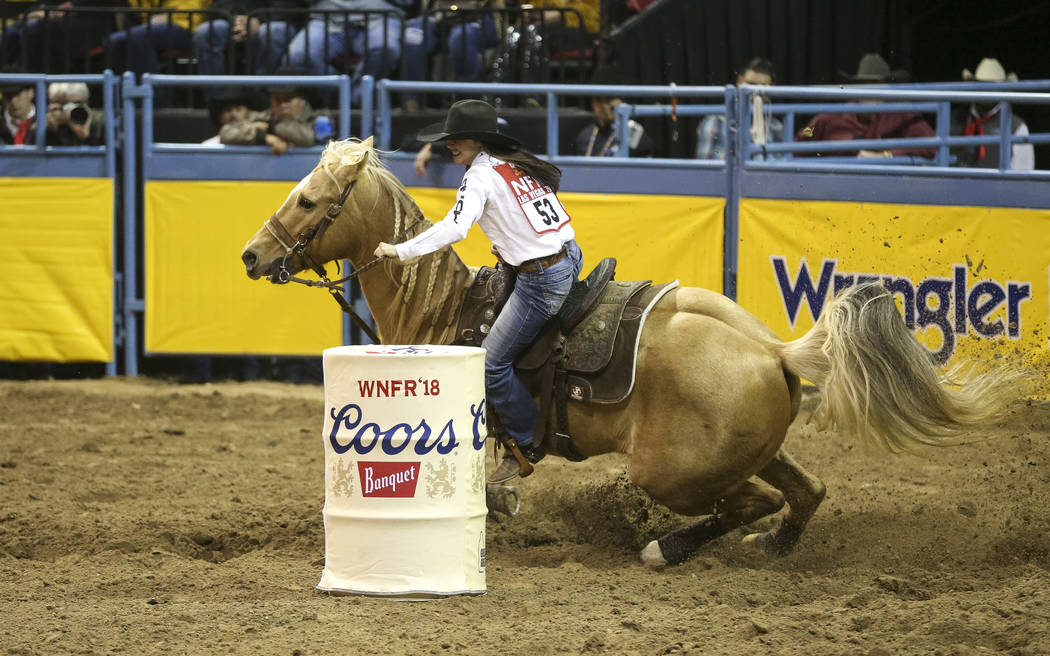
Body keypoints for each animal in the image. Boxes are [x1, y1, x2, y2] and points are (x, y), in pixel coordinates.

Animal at [240, 136, 1016, 562]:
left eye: (307, 200)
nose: (251, 255)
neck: (443, 310)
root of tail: (776, 352)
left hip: (672, 471)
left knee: (751, 502)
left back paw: (662, 548)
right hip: (753, 448)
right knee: (805, 492)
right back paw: (773, 550)